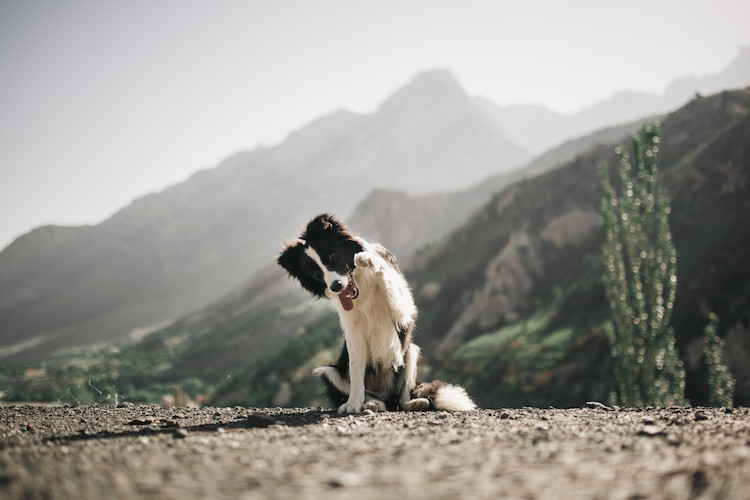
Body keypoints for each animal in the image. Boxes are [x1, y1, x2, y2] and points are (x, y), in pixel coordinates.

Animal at [276, 213, 476, 412]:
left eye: (332, 256)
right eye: (316, 273)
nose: (336, 286)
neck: (361, 287)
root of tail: (386, 395)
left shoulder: (403, 309)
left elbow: (384, 273)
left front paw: (368, 259)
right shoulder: (354, 331)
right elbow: (356, 372)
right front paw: (353, 404)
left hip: (409, 351)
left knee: (403, 395)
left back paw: (414, 403)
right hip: (330, 372)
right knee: (369, 393)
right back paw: (373, 403)